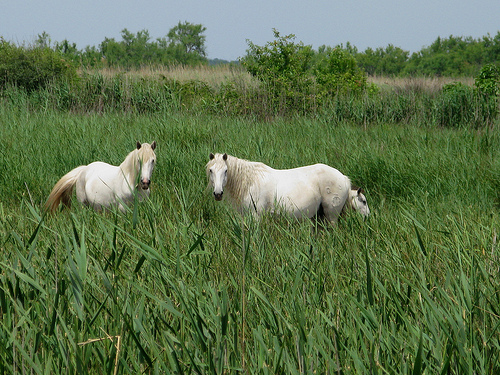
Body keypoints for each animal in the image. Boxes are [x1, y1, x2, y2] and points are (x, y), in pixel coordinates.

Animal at [205, 153, 370, 223]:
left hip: (331, 216)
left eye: (226, 171)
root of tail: (343, 178)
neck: (250, 182)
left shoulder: (256, 217)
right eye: (211, 171)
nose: (218, 194)